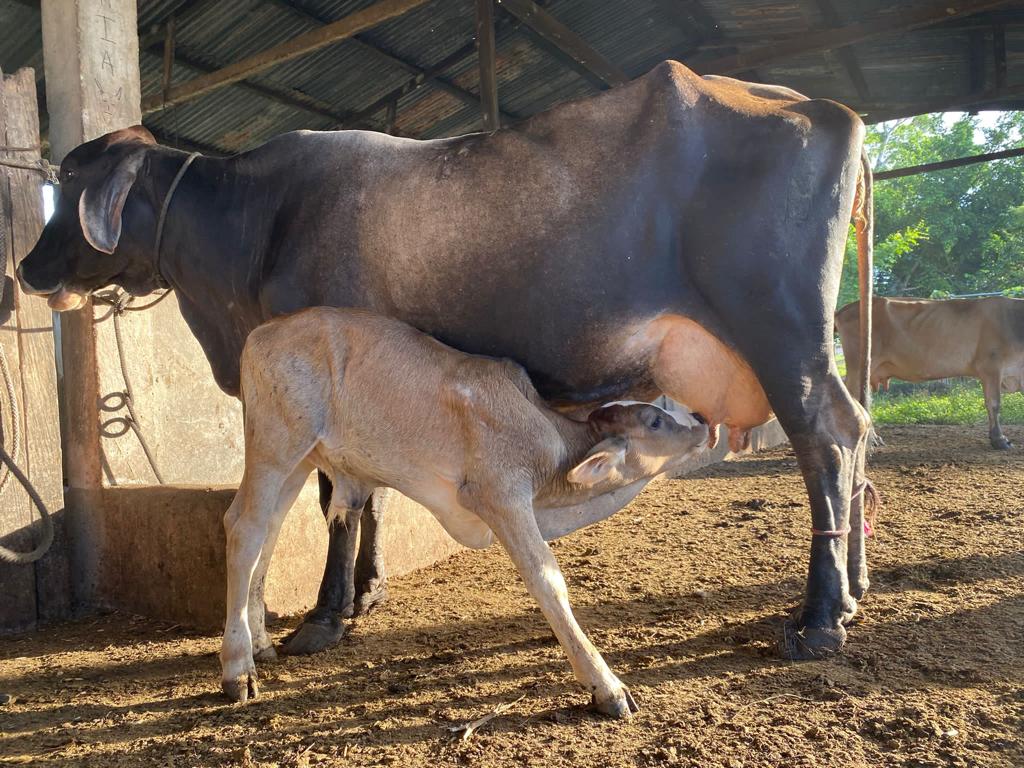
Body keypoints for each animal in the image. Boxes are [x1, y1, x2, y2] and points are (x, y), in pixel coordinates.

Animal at [220, 309, 708, 720]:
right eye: (655, 421)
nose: (703, 421)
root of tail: (263, 332)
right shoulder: (502, 496)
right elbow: (549, 581)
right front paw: (607, 687)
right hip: (275, 444)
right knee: (243, 528)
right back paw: (238, 668)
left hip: (299, 460)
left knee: (269, 533)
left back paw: (260, 643)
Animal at [839, 296, 1024, 450]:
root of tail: (844, 309)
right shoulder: (991, 367)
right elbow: (994, 404)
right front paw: (1000, 440)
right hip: (858, 366)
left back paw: (874, 439)